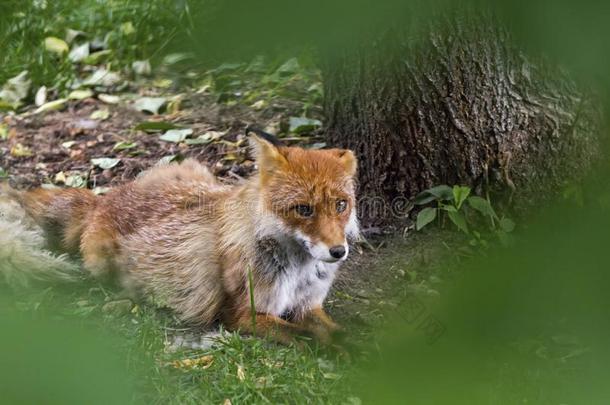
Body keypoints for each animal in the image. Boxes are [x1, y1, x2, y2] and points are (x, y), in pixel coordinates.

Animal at [5, 128, 356, 342]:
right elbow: (304, 335)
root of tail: (104, 199)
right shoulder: (244, 314)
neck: (297, 271)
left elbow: (338, 333)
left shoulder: (308, 306)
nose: (338, 252)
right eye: (303, 209)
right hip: (103, 262)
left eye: (341, 205)